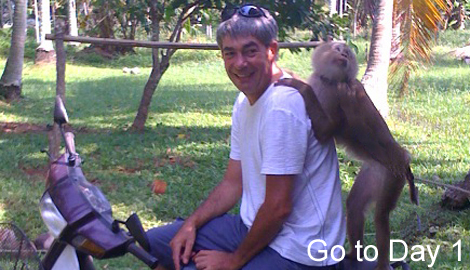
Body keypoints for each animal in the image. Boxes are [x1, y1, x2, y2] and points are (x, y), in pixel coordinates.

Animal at [276, 41, 418, 268]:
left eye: (347, 53)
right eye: (338, 49)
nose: (343, 52)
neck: (329, 80)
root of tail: (403, 158)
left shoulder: (340, 94)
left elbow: (326, 130)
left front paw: (298, 85)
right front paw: (287, 72)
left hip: (393, 174)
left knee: (381, 216)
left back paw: (381, 263)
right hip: (374, 170)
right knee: (355, 205)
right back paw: (354, 254)